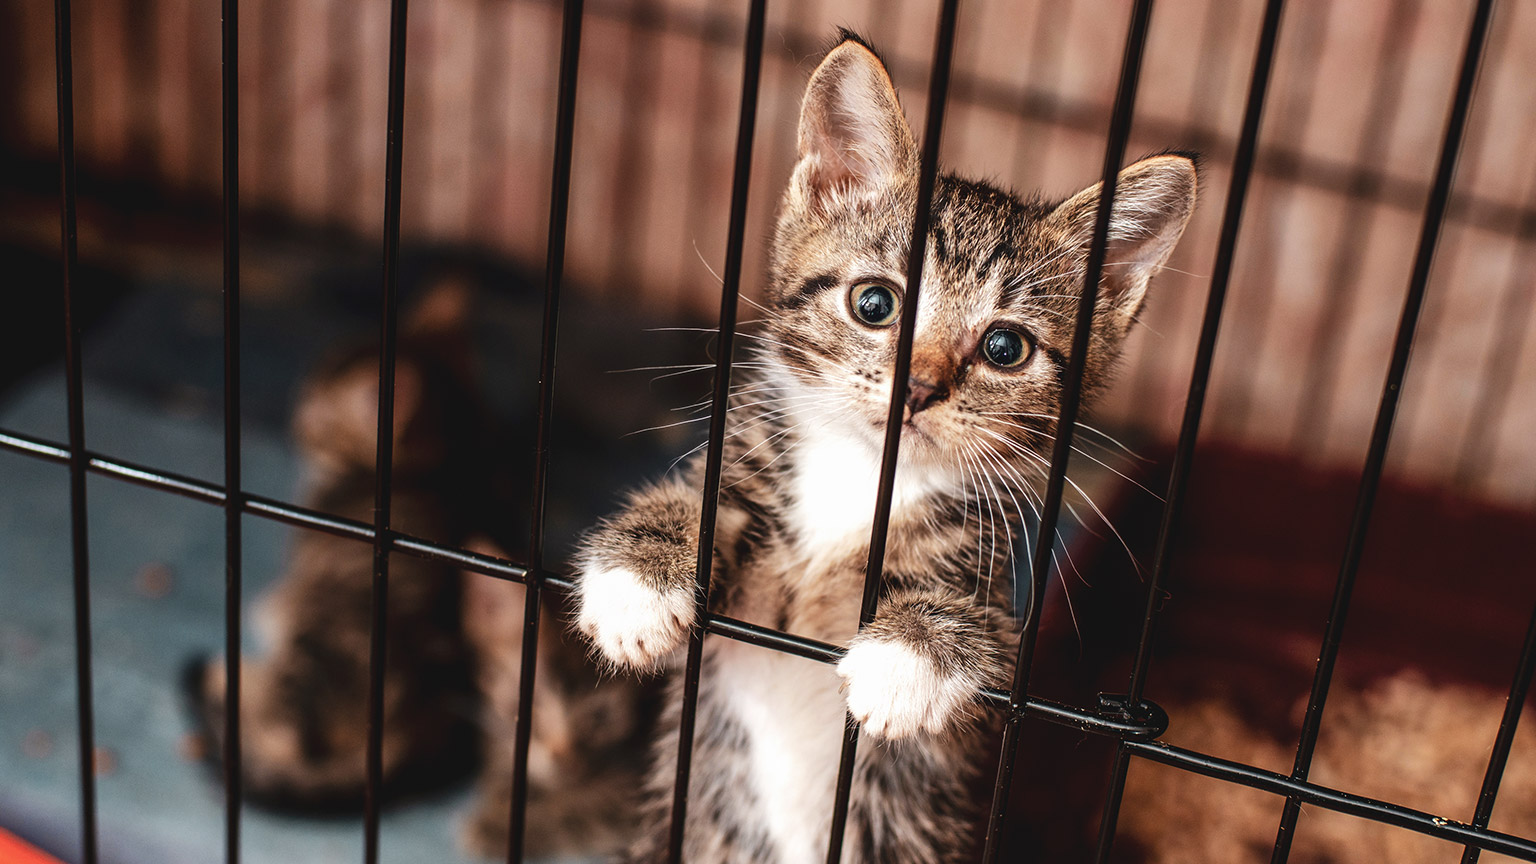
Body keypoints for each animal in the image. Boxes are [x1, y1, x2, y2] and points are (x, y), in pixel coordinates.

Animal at [568, 30, 1198, 854]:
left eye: (1005, 348)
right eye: (875, 303)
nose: (921, 387)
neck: (864, 473)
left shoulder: (994, 597)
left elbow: (982, 633)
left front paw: (908, 657)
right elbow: (703, 506)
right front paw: (637, 580)